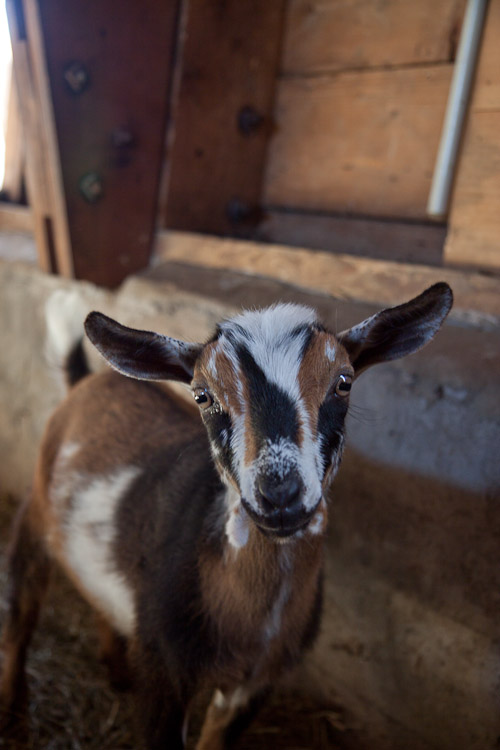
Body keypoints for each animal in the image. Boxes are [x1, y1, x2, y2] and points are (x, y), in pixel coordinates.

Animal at [0, 284, 454, 748]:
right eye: (202, 395)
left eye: (343, 382)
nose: (280, 493)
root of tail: (86, 381)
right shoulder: (165, 672)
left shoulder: (255, 683)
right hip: (34, 513)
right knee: (20, 611)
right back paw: (14, 720)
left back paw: (117, 670)